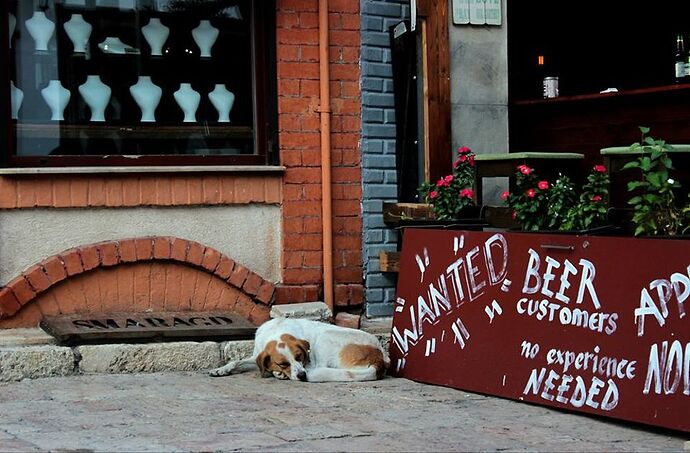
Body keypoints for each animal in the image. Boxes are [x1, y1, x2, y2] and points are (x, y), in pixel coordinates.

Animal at [206, 318, 388, 382]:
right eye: (283, 363)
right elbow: (237, 361)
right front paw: (220, 369)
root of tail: (379, 358)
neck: (277, 330)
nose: (301, 375)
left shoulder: (308, 362)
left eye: (299, 357)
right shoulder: (257, 356)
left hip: (325, 337)